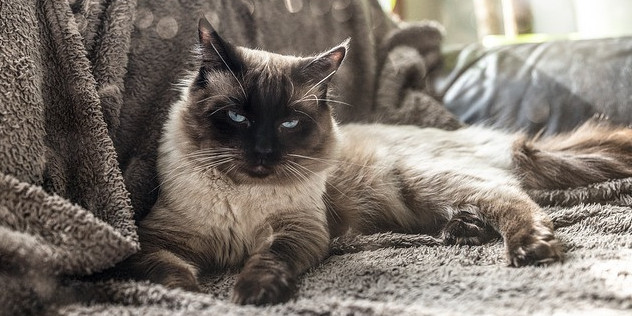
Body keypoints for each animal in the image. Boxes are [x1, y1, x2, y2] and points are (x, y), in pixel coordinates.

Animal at [124, 17, 632, 306]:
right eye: (237, 117)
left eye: (288, 123)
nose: (264, 153)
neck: (245, 200)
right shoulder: (152, 240)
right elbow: (164, 269)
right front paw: (188, 295)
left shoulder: (298, 232)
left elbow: (268, 260)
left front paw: (250, 294)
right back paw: (463, 230)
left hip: (419, 180)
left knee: (514, 200)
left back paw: (530, 247)